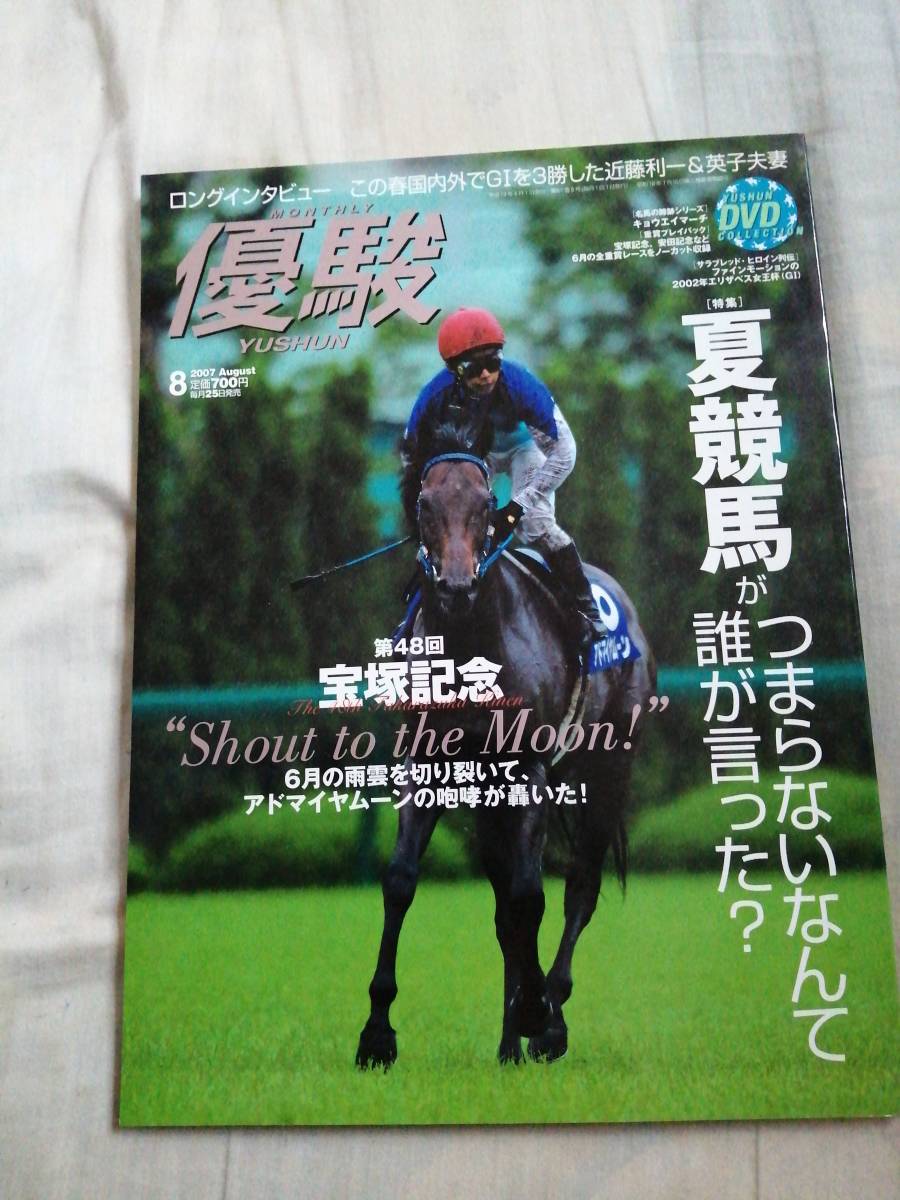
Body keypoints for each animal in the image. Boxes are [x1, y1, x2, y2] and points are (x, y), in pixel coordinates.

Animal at [355, 420, 655, 1068]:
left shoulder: (531, 770)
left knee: (578, 890)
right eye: (424, 502)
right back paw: (511, 1039)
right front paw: (376, 1034)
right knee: (506, 913)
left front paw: (538, 1011)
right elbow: (402, 881)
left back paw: (548, 1020)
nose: (456, 586)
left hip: (608, 769)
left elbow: (530, 895)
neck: (471, 642)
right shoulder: (429, 766)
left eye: (483, 502)